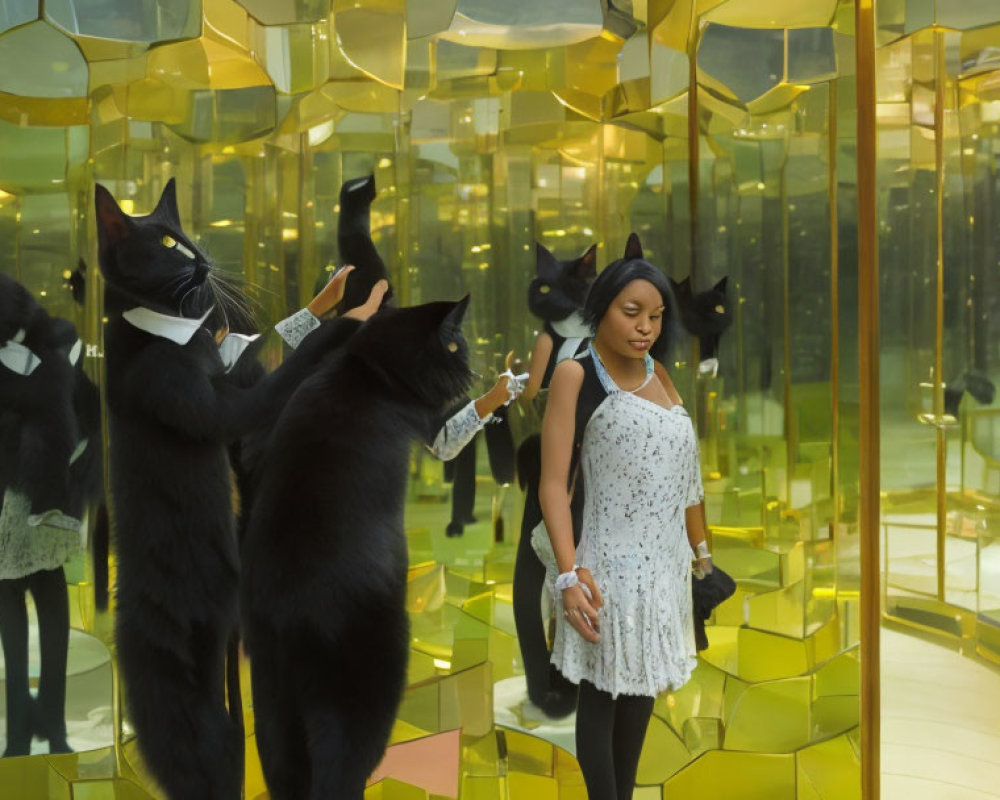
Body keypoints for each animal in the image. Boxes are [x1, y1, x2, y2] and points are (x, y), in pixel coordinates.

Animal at [244, 296, 474, 796]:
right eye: (454, 344)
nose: (472, 370)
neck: (367, 370)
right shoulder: (431, 426)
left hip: (272, 703)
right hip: (365, 688)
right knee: (339, 774)